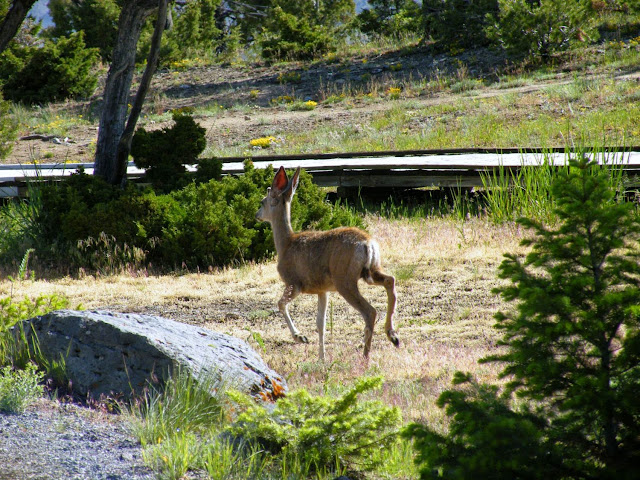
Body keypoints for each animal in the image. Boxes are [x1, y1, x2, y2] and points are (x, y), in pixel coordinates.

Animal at [256, 166, 400, 360]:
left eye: (262, 202)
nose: (256, 215)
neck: (285, 244)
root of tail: (368, 243)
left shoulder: (295, 282)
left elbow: (281, 304)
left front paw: (300, 337)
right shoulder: (322, 290)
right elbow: (321, 324)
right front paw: (321, 358)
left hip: (344, 279)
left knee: (370, 311)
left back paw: (365, 355)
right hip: (370, 270)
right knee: (390, 280)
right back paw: (393, 336)